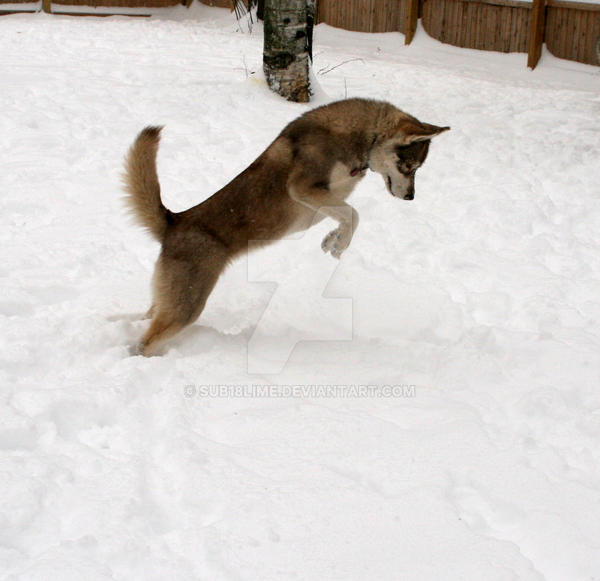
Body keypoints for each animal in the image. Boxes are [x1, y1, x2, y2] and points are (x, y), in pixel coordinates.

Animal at [123, 97, 450, 356]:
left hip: (170, 301)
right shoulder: (303, 188)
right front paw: (339, 243)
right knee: (144, 343)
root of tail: (175, 221)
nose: (410, 197)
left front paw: (332, 239)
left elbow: (346, 215)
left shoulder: (329, 197)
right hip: (187, 306)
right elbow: (354, 214)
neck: (361, 138)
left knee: (148, 319)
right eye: (410, 167)